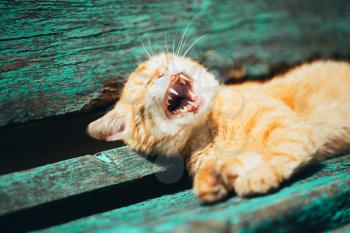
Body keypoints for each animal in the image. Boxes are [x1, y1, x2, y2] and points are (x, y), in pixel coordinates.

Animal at [87, 53, 350, 203]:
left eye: (162, 63)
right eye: (145, 83)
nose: (163, 70)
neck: (209, 130)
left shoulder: (288, 129)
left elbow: (282, 152)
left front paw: (260, 175)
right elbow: (237, 160)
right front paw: (214, 177)